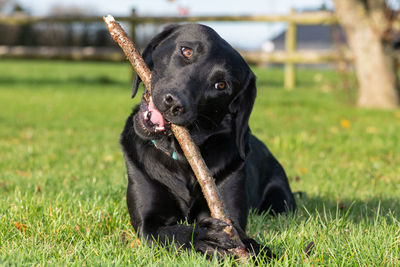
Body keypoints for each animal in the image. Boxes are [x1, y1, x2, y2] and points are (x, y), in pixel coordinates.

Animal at [120, 24, 296, 258]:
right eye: (186, 51)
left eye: (220, 85)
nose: (174, 103)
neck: (182, 157)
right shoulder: (148, 222)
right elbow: (173, 232)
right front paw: (202, 237)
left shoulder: (228, 212)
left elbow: (243, 236)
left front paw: (260, 252)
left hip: (281, 201)